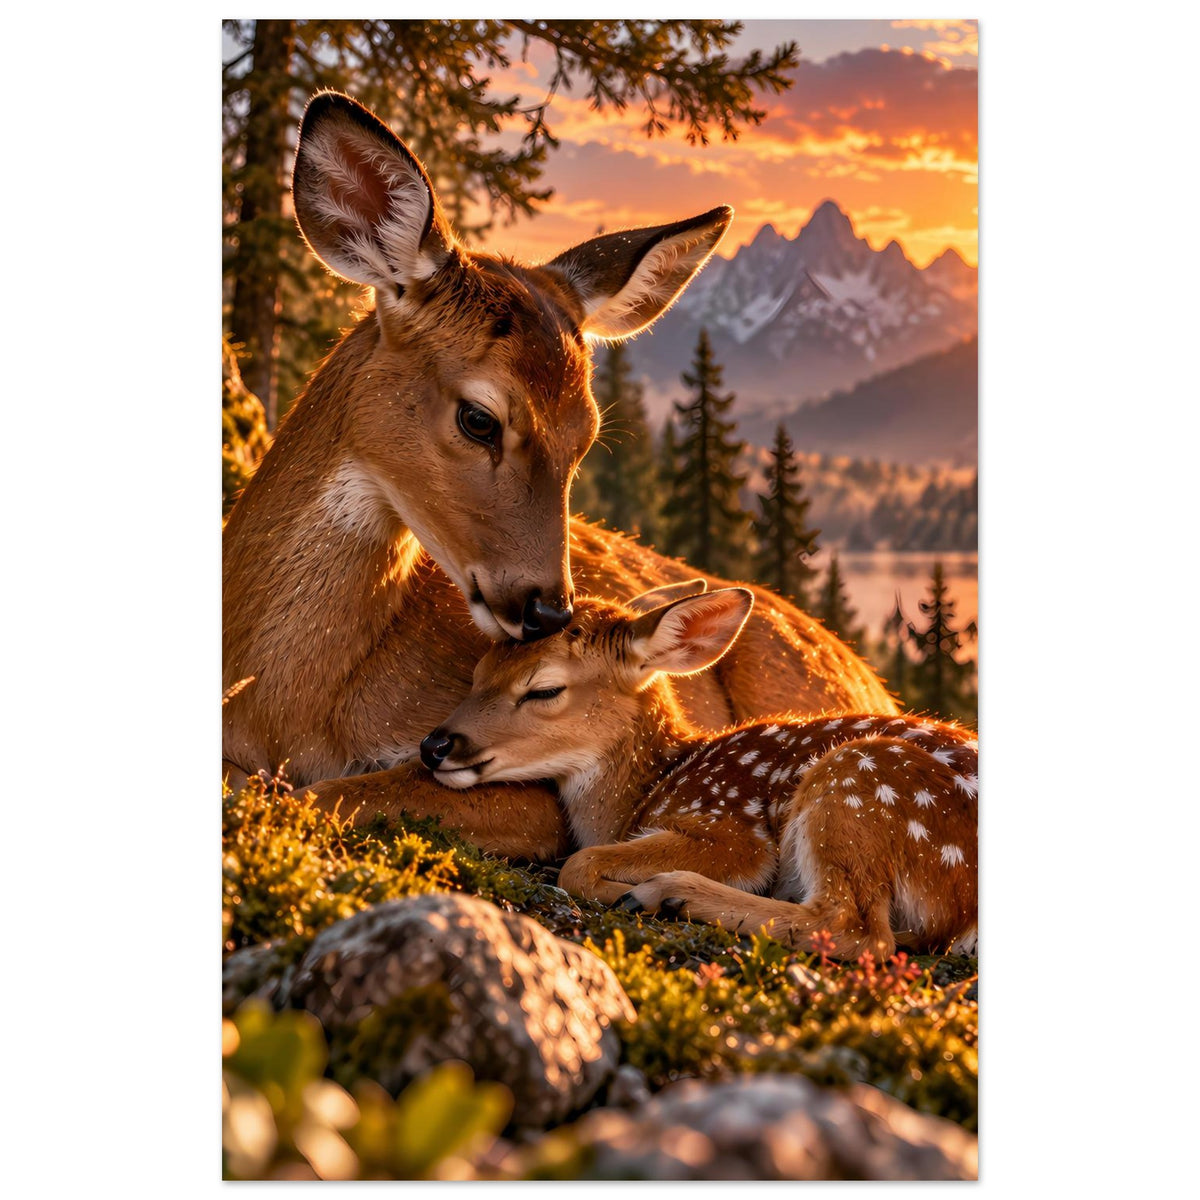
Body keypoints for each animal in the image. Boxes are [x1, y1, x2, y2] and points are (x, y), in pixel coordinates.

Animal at [223, 91, 899, 864]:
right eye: (479, 418)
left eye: (588, 436)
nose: (549, 610)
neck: (279, 706)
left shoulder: (531, 794)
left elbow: (328, 792)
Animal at [421, 583, 977, 960]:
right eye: (478, 673)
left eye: (544, 689)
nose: (434, 745)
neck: (648, 788)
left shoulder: (730, 827)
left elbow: (579, 862)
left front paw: (625, 890)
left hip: (858, 780)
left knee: (857, 930)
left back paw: (665, 894)